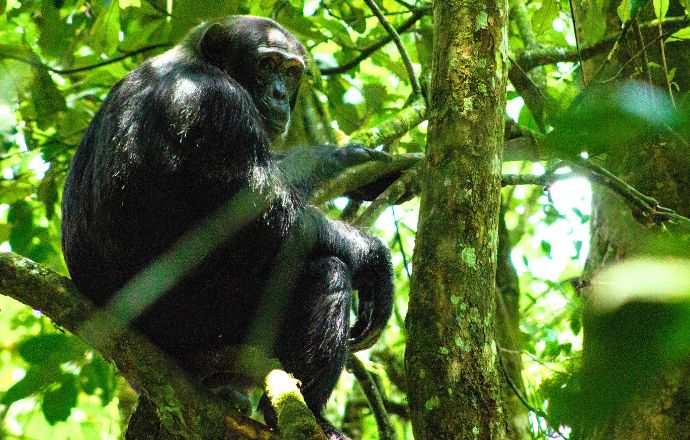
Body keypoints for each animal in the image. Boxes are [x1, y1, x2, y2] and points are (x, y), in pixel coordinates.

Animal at [62, 14, 396, 440]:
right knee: (327, 274)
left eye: (291, 71)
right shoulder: (219, 106)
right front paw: (372, 257)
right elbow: (263, 217)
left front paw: (343, 160)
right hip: (199, 328)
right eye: (267, 65)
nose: (279, 93)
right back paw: (310, 416)